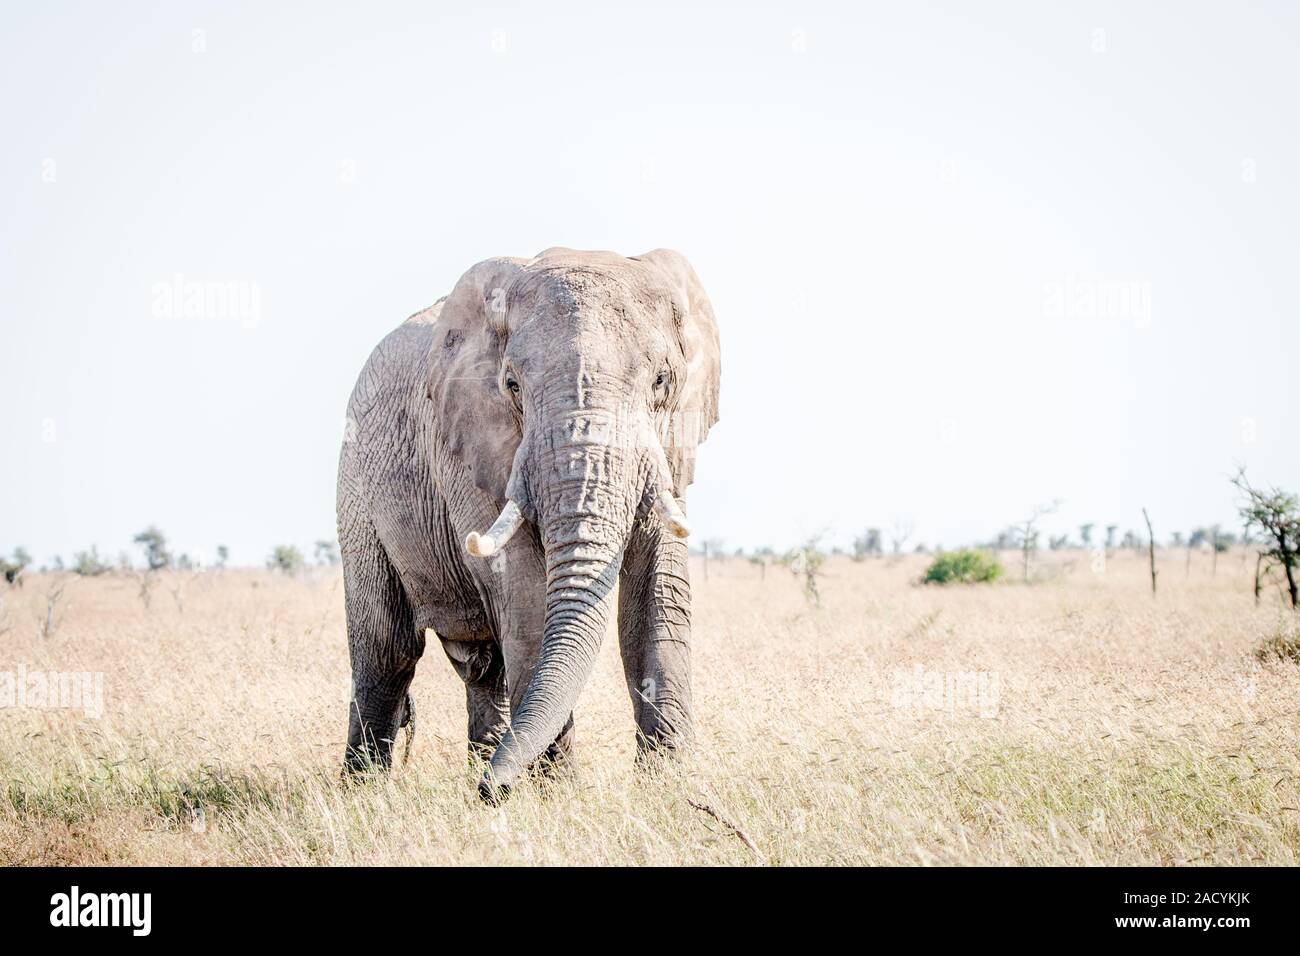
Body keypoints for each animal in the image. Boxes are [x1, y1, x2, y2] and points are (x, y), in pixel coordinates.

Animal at [335, 247, 722, 801]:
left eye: (662, 382)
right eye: (512, 386)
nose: (487, 792)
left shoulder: (669, 448)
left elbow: (657, 592)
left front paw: (670, 789)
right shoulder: (471, 444)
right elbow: (525, 597)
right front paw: (553, 795)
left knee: (481, 666)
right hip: (357, 488)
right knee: (386, 649)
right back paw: (363, 791)